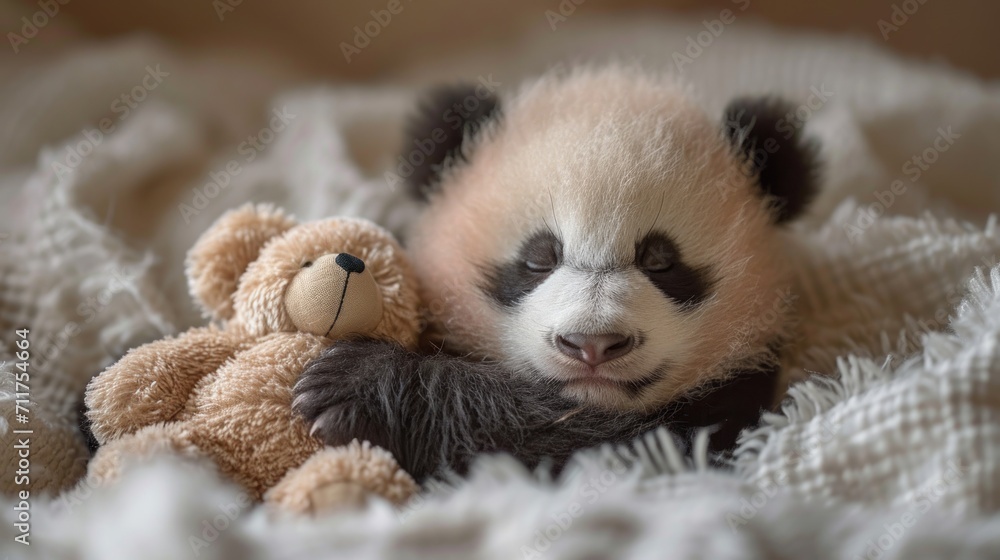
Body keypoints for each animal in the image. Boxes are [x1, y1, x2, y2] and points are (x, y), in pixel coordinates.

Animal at [292, 64, 820, 476]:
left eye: (660, 260)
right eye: (539, 257)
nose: (592, 344)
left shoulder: (730, 415)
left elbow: (595, 446)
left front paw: (354, 389)